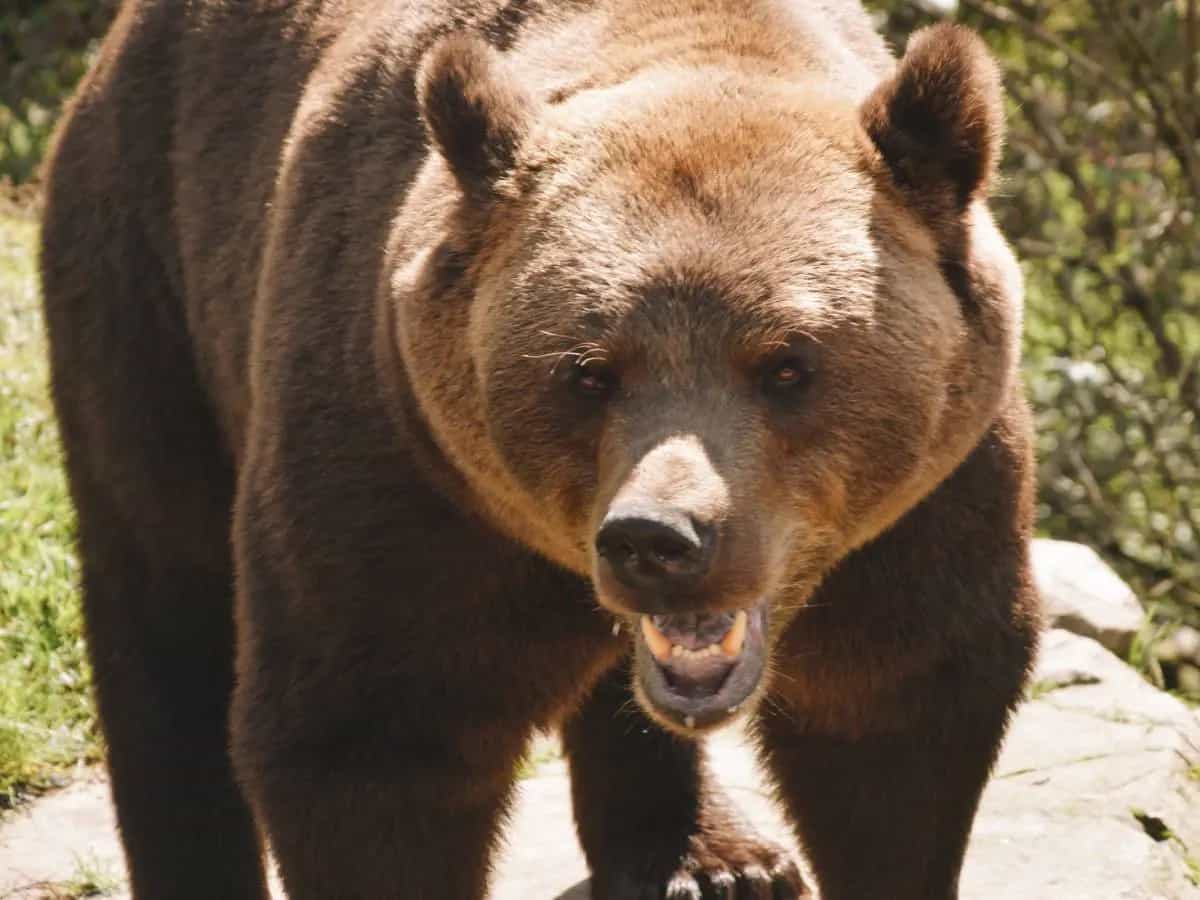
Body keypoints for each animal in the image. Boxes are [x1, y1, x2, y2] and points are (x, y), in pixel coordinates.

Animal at [39, 1, 1039, 898]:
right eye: (588, 371)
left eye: (789, 364)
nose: (658, 538)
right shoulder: (401, 475)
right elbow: (372, 744)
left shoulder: (925, 510)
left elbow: (891, 718)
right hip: (148, 274)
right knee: (165, 594)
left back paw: (710, 858)